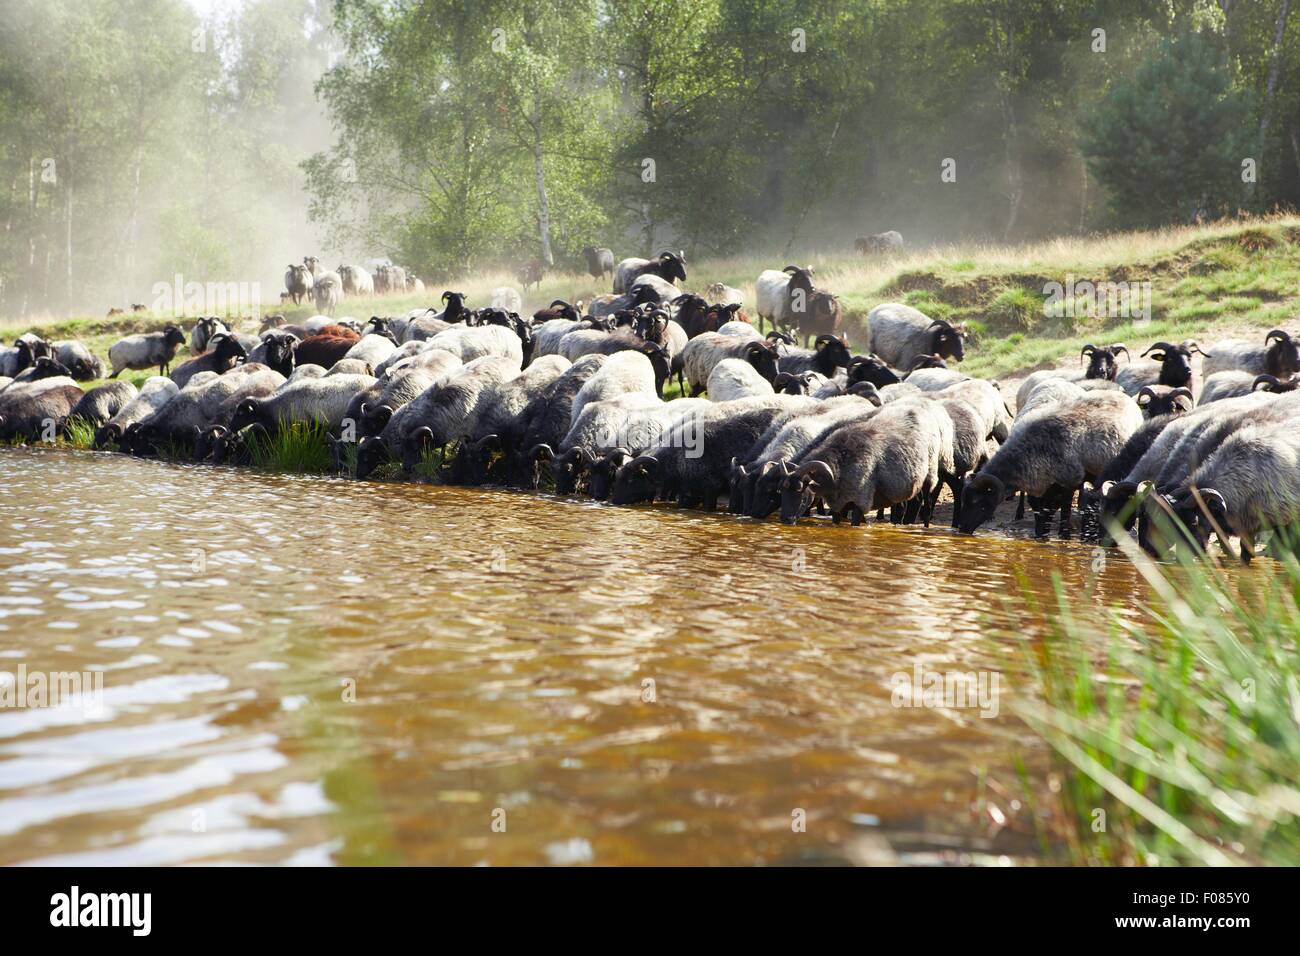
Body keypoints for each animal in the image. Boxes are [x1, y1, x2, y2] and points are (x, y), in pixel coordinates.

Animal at [959, 390, 1143, 537]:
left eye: (978, 502)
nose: (962, 529)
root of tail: (1125, 397)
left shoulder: (1069, 482)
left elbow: (1064, 511)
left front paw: (1063, 536)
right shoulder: (1043, 489)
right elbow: (1043, 513)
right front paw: (1041, 536)